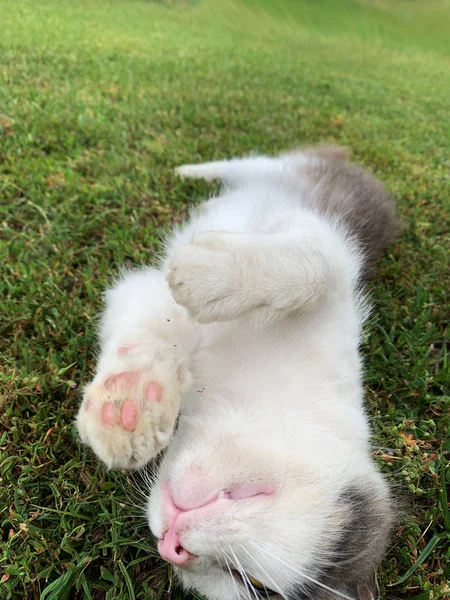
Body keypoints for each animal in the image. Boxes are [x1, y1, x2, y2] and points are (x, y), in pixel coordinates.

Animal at [75, 145, 400, 600]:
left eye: (250, 583)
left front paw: (131, 398)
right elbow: (321, 263)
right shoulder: (328, 259)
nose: (173, 546)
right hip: (285, 168)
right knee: (247, 163)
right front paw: (127, 403)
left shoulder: (140, 291)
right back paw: (190, 171)